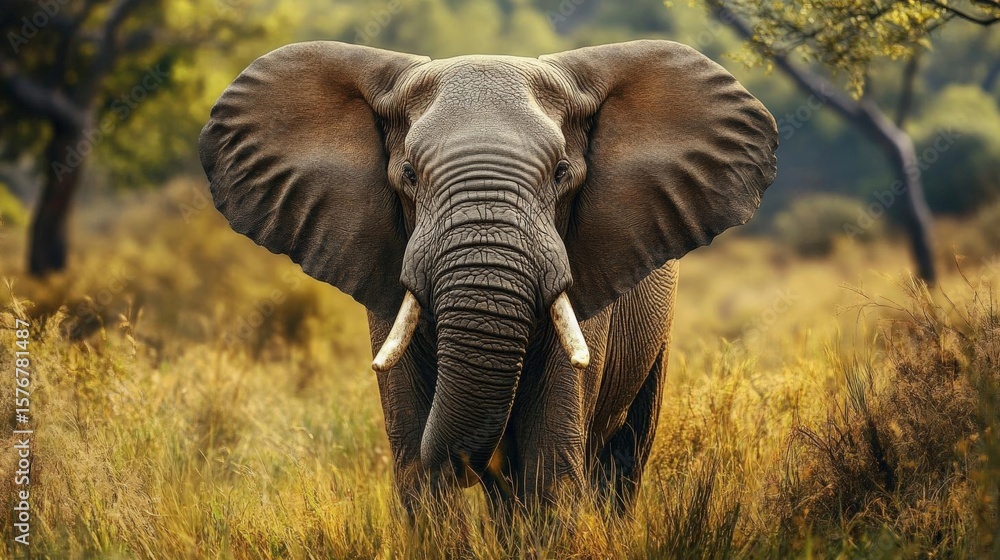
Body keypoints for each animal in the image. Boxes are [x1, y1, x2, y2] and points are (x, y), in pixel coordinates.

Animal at [199, 39, 778, 517]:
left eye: (562, 173)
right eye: (408, 174)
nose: (480, 463)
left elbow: (549, 470)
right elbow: (418, 475)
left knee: (623, 457)